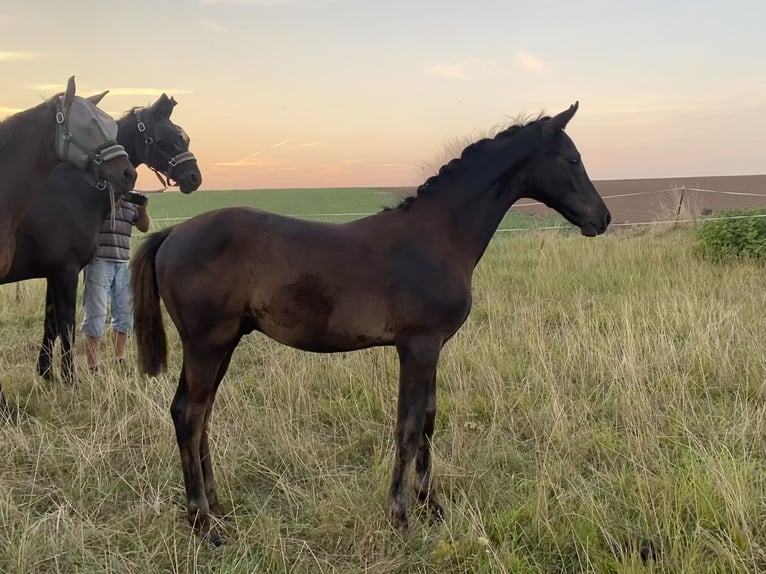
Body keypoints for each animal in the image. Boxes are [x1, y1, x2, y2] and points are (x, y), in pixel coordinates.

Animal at [0, 94, 202, 388]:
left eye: (184, 138)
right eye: (165, 140)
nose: (194, 178)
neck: (73, 190)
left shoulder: (53, 273)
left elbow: (50, 323)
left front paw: (47, 373)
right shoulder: (66, 272)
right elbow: (67, 326)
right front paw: (70, 379)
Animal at [130, 101, 612, 548]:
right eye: (573, 159)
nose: (603, 218)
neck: (439, 235)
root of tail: (171, 236)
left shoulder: (434, 347)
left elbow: (429, 420)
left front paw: (432, 505)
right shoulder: (418, 346)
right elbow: (408, 426)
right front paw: (401, 517)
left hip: (224, 344)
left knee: (201, 416)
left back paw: (218, 509)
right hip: (206, 344)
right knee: (189, 415)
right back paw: (204, 524)